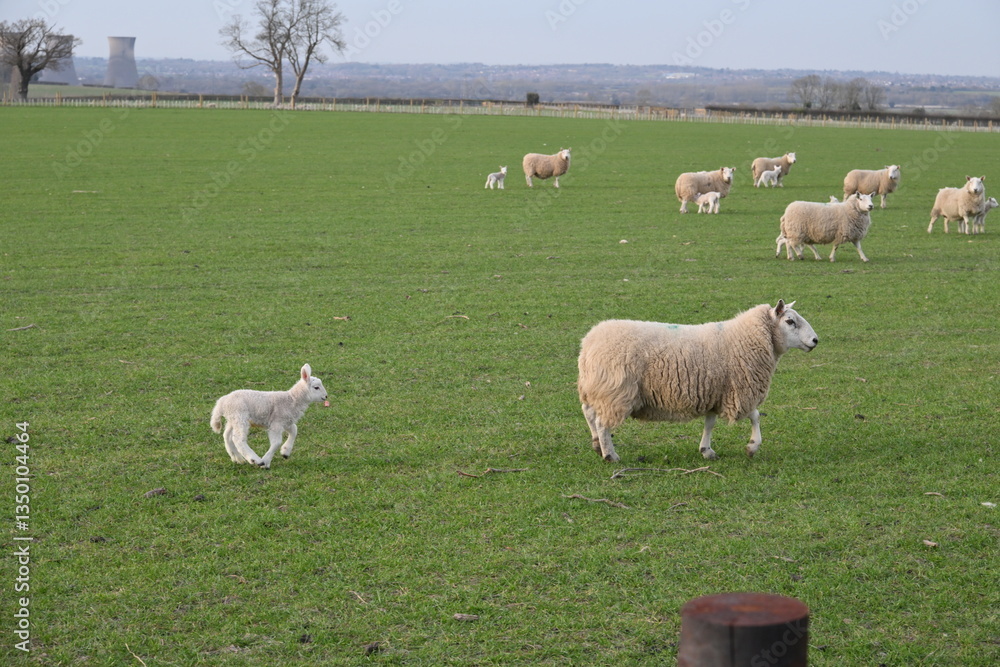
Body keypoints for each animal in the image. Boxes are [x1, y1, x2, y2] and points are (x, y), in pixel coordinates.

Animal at [577, 300, 818, 462]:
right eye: (790, 321)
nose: (816, 340)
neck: (745, 338)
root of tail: (589, 342)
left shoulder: (715, 391)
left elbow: (710, 423)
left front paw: (706, 450)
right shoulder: (739, 389)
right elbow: (756, 416)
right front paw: (752, 446)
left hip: (596, 388)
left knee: (589, 413)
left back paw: (597, 445)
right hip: (616, 391)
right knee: (602, 422)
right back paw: (610, 454)